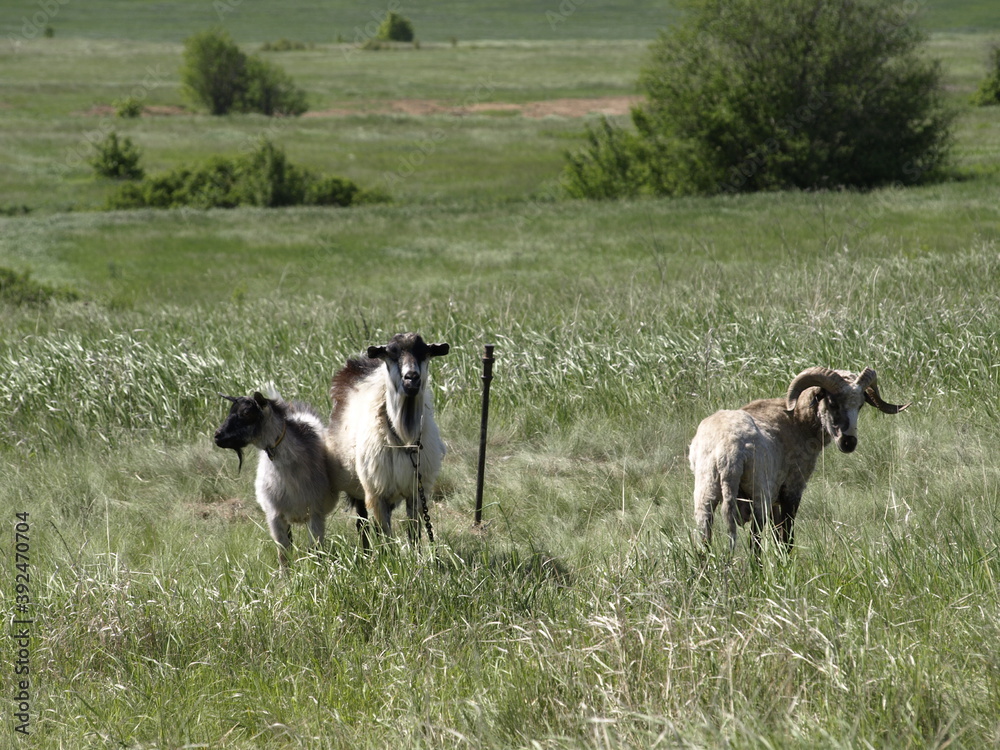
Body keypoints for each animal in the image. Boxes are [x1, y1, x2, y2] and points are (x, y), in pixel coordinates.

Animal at [214, 390, 343, 566]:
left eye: (246, 413)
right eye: (230, 411)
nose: (217, 435)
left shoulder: (315, 514)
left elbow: (316, 550)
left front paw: (318, 570)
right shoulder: (275, 516)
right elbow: (283, 553)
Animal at [326, 332, 450, 547]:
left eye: (424, 352)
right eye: (392, 354)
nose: (412, 378)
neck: (404, 434)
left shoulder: (416, 492)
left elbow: (414, 533)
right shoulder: (376, 493)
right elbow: (386, 536)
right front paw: (390, 555)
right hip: (359, 486)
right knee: (363, 524)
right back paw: (366, 552)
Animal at [688, 367, 908, 554]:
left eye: (860, 405)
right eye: (832, 403)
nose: (849, 442)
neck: (798, 422)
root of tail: (728, 452)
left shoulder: (776, 499)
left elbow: (777, 537)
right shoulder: (792, 488)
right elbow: (787, 538)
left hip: (705, 492)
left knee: (704, 542)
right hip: (759, 492)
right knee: (755, 544)